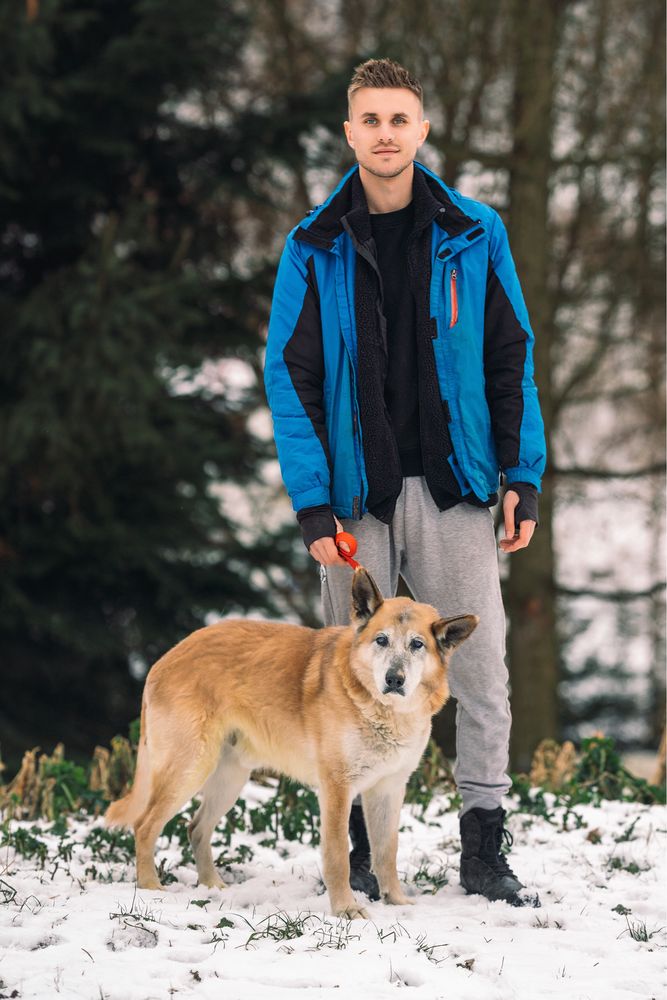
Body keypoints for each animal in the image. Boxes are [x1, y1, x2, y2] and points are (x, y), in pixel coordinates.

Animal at [107, 568, 478, 916]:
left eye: (417, 644)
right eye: (382, 640)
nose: (394, 679)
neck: (381, 711)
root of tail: (163, 659)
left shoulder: (388, 790)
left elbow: (387, 852)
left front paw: (396, 902)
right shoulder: (337, 789)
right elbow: (337, 855)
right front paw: (345, 909)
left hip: (229, 778)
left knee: (196, 828)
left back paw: (212, 886)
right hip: (190, 768)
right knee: (145, 825)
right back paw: (152, 888)